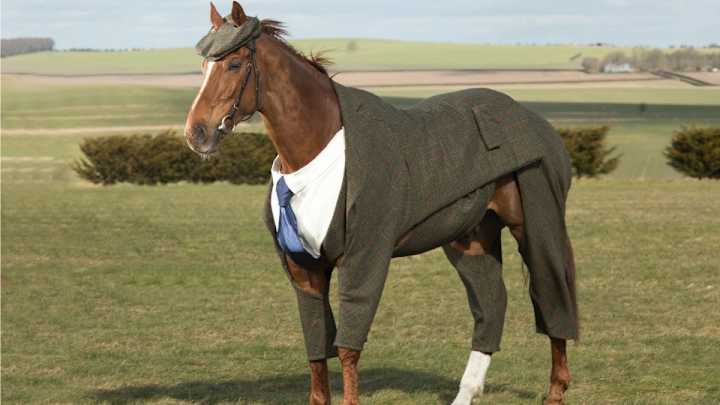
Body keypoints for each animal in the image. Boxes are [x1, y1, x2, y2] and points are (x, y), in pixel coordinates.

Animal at [184, 3, 578, 404]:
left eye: (234, 64)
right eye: (203, 66)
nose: (196, 133)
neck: (319, 147)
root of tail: (536, 122)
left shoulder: (363, 258)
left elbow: (347, 346)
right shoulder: (304, 269)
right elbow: (316, 347)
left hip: (534, 221)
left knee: (553, 292)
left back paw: (556, 390)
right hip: (471, 237)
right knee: (491, 303)